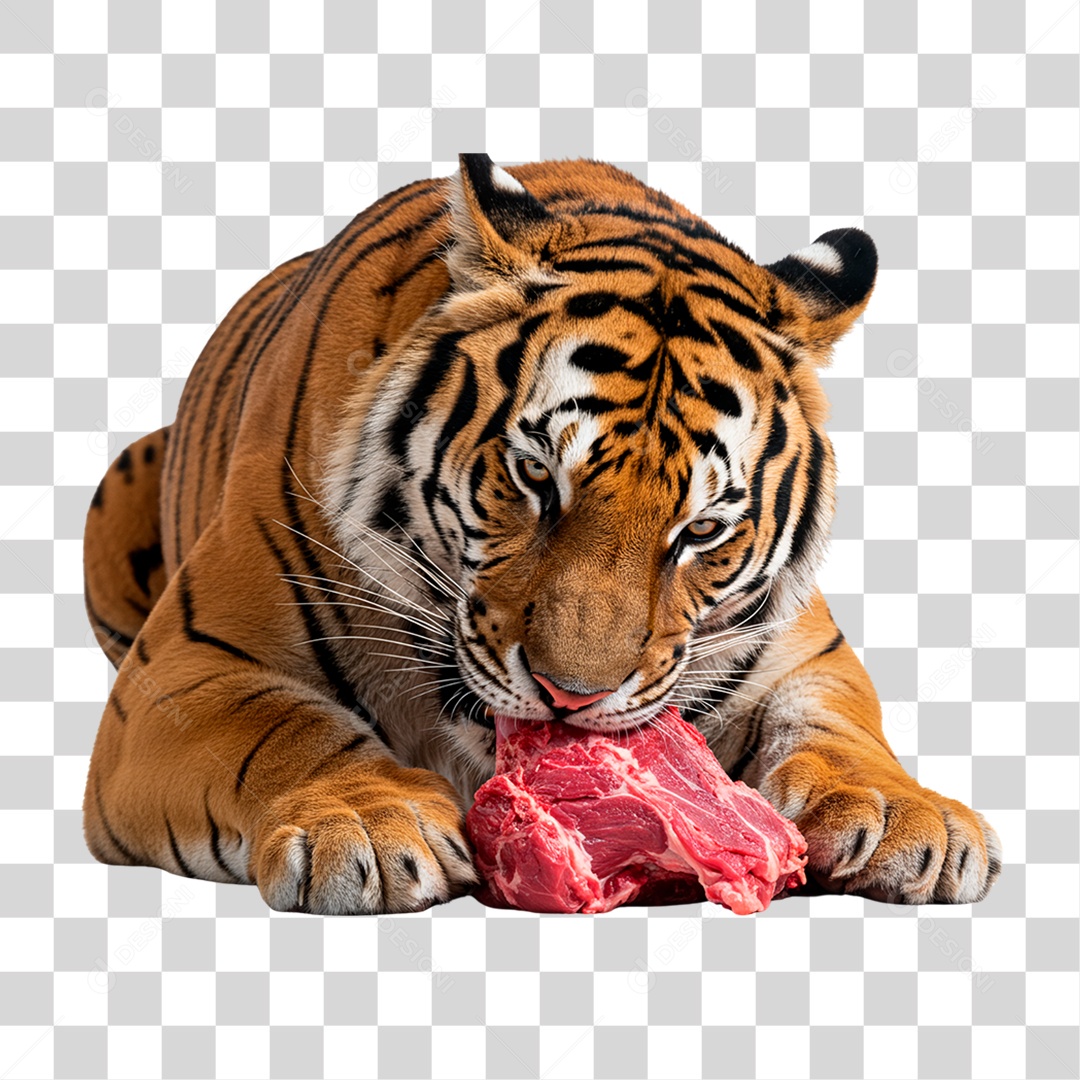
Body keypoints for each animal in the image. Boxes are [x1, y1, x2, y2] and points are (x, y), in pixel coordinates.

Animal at [83, 154, 1001, 914]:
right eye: (534, 479)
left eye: (702, 530)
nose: (572, 699)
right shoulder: (182, 667)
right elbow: (288, 729)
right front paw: (370, 823)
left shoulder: (803, 648)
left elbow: (836, 728)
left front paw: (906, 814)